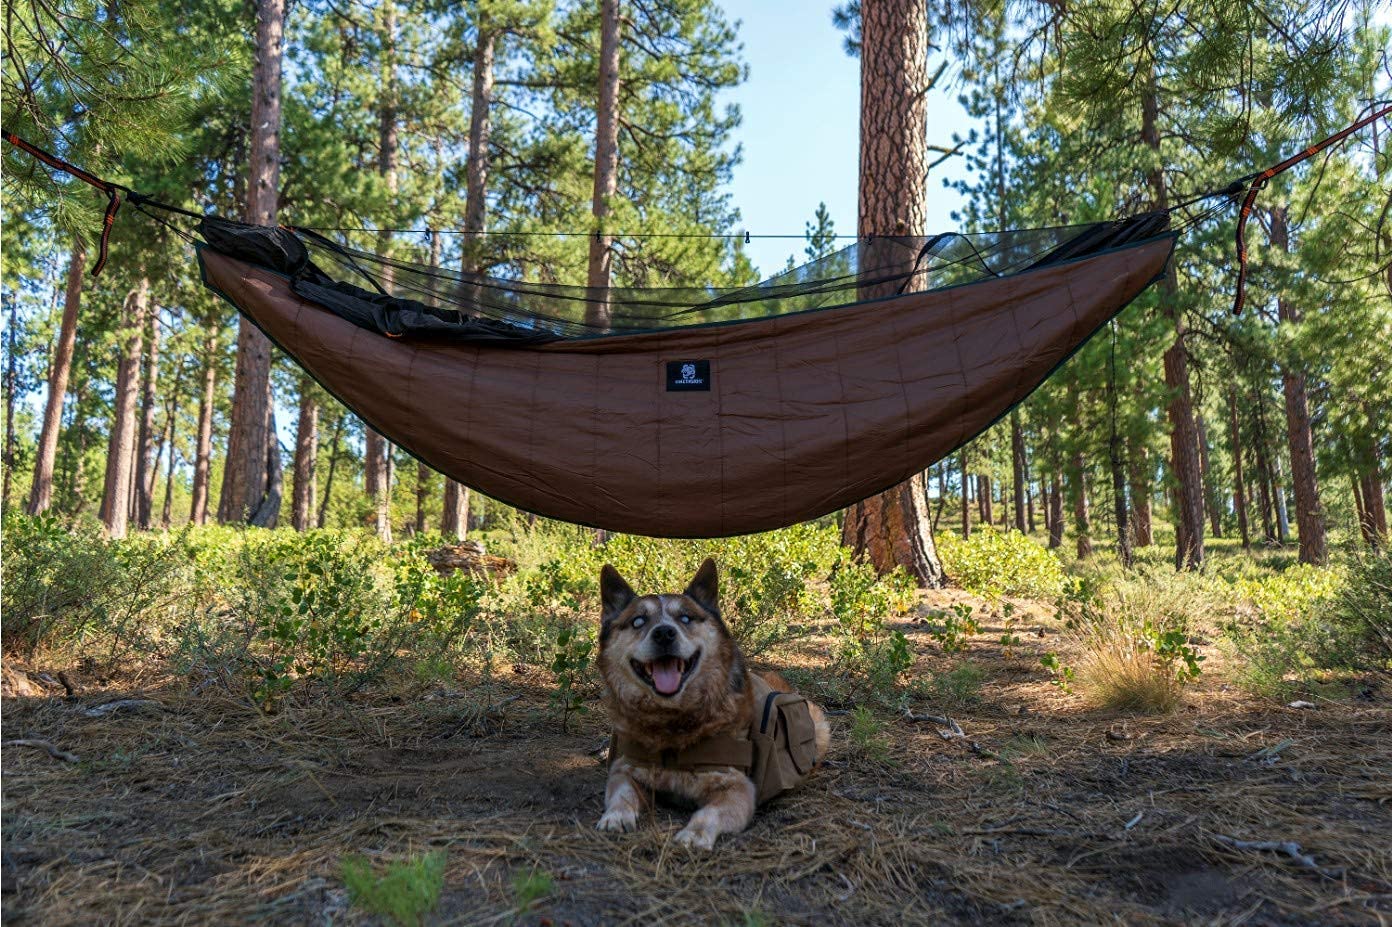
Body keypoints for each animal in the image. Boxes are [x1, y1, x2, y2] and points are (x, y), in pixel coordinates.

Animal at [595, 551, 829, 846]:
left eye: (685, 618)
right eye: (638, 621)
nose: (664, 633)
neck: (672, 725)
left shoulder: (738, 788)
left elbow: (709, 812)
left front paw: (694, 834)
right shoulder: (625, 770)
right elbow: (621, 793)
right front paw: (615, 816)